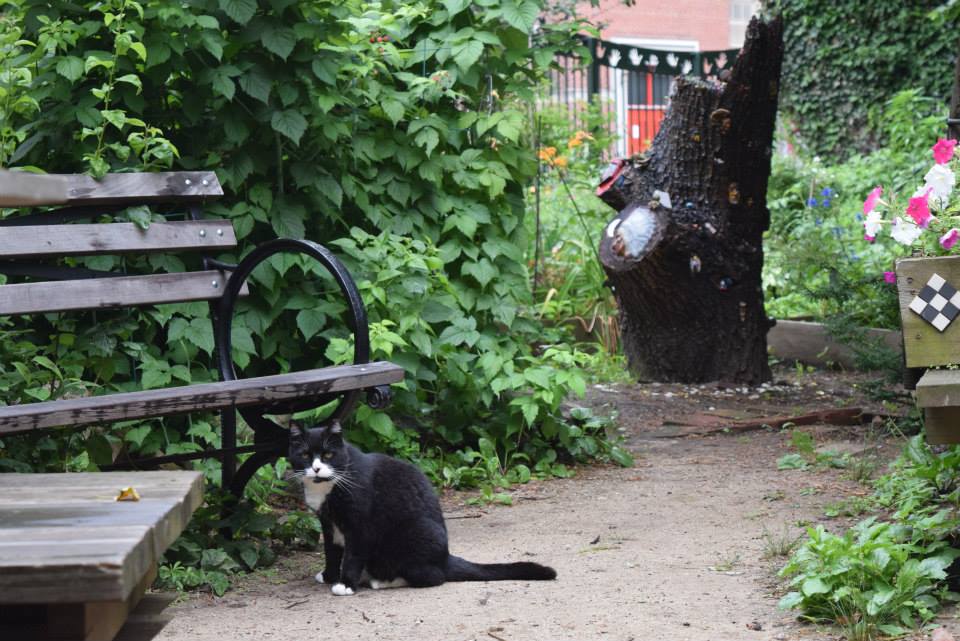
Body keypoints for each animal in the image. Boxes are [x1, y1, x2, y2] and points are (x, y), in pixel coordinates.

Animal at [286, 420, 556, 596]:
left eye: (328, 455)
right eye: (305, 455)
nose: (316, 468)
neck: (327, 487)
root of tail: (445, 557)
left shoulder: (360, 525)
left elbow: (352, 555)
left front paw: (345, 584)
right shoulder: (328, 522)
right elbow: (331, 551)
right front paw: (329, 575)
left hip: (415, 534)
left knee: (434, 577)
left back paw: (382, 581)